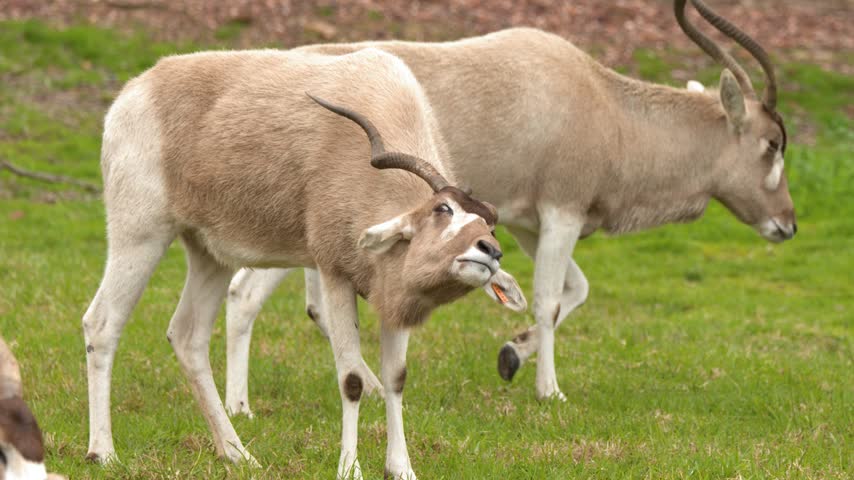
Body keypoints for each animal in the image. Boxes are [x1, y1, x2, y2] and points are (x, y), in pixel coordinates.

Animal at [82, 47, 525, 478]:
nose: (490, 251)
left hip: (209, 254)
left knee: (188, 336)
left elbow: (396, 378)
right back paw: (104, 452)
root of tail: (135, 91)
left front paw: (402, 469)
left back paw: (237, 454)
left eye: (488, 224)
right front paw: (349, 469)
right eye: (443, 209)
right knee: (102, 324)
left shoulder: (395, 295)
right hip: (141, 233)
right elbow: (351, 379)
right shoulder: (334, 274)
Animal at [224, 0, 796, 417]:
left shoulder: (526, 225)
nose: (788, 225)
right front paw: (549, 391)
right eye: (772, 144)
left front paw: (511, 355)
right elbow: (548, 300)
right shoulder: (562, 212)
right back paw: (243, 409)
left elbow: (572, 291)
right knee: (245, 294)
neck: (607, 109)